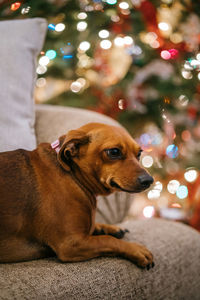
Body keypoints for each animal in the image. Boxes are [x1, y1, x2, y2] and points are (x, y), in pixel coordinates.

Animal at [0, 123, 155, 268]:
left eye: (139, 153)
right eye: (114, 152)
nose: (149, 180)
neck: (73, 176)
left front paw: (110, 228)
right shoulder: (71, 244)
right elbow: (108, 239)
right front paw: (136, 250)